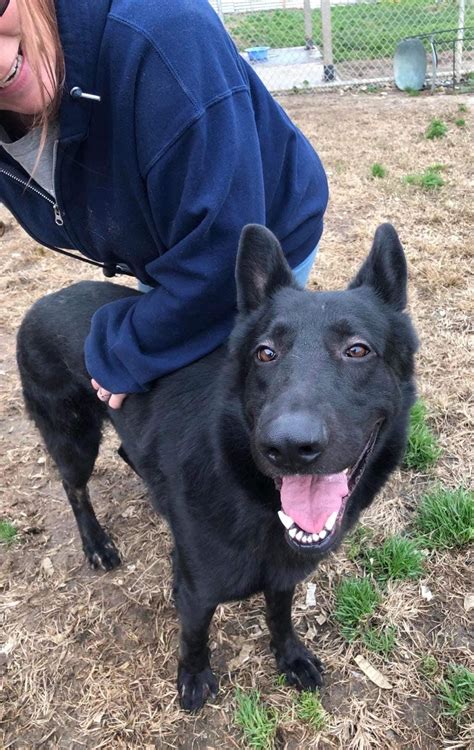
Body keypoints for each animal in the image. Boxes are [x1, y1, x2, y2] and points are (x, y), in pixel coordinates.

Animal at [16, 223, 416, 712]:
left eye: (357, 350)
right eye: (265, 353)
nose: (287, 446)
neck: (249, 489)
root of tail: (40, 303)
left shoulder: (282, 575)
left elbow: (279, 615)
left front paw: (289, 656)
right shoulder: (198, 591)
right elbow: (194, 634)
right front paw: (193, 675)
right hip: (74, 439)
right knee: (74, 489)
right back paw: (96, 543)